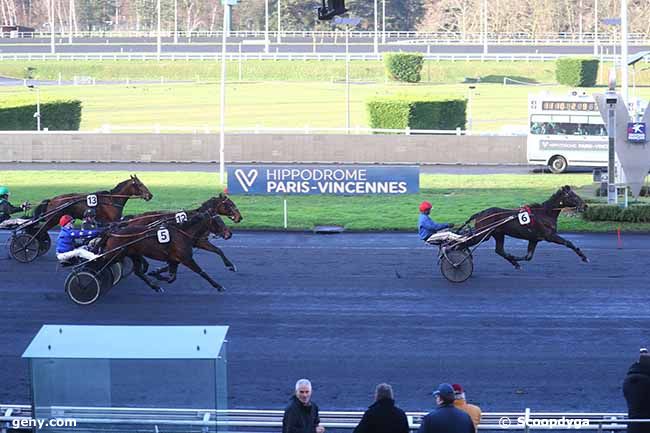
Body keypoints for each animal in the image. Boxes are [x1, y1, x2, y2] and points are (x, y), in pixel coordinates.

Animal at [100, 210, 232, 292]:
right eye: (218, 222)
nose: (229, 234)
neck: (183, 233)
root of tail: (113, 232)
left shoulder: (175, 259)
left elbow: (172, 277)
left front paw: (158, 275)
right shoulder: (187, 259)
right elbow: (202, 272)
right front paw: (218, 286)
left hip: (132, 254)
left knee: (138, 272)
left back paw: (155, 287)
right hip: (114, 254)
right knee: (101, 263)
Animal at [458, 185, 588, 268]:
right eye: (573, 196)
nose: (585, 206)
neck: (545, 213)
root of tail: (481, 213)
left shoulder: (534, 239)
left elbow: (528, 257)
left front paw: (514, 258)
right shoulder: (549, 236)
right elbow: (568, 243)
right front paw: (584, 257)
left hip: (498, 234)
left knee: (499, 250)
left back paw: (514, 263)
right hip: (483, 234)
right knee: (463, 243)